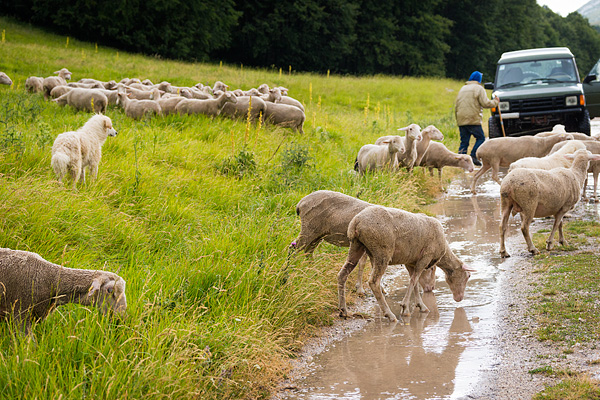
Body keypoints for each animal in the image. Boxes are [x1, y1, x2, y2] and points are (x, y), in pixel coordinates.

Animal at [292, 189, 436, 296]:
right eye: (431, 268)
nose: (432, 288)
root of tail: (301, 203)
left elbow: (365, 264)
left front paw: (369, 288)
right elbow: (364, 265)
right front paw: (361, 289)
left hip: (317, 234)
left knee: (308, 251)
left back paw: (312, 270)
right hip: (309, 228)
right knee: (293, 248)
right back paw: (290, 272)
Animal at [338, 206, 474, 322]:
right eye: (468, 276)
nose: (459, 299)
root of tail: (356, 222)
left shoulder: (411, 262)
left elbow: (414, 282)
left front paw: (421, 306)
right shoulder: (425, 257)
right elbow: (413, 280)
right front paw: (405, 308)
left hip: (357, 245)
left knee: (342, 274)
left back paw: (343, 311)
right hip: (382, 251)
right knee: (374, 282)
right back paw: (390, 315)